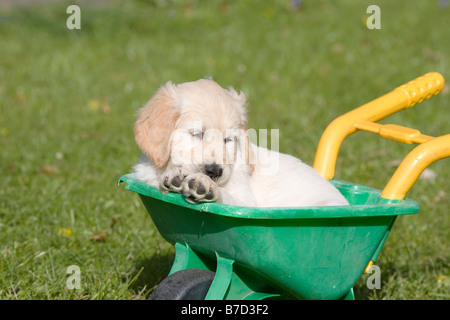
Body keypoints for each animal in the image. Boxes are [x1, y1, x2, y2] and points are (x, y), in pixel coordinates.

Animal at [132, 79, 350, 206]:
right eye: (198, 134)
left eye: (228, 140)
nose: (214, 172)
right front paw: (173, 177)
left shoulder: (246, 201)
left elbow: (229, 199)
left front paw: (205, 186)